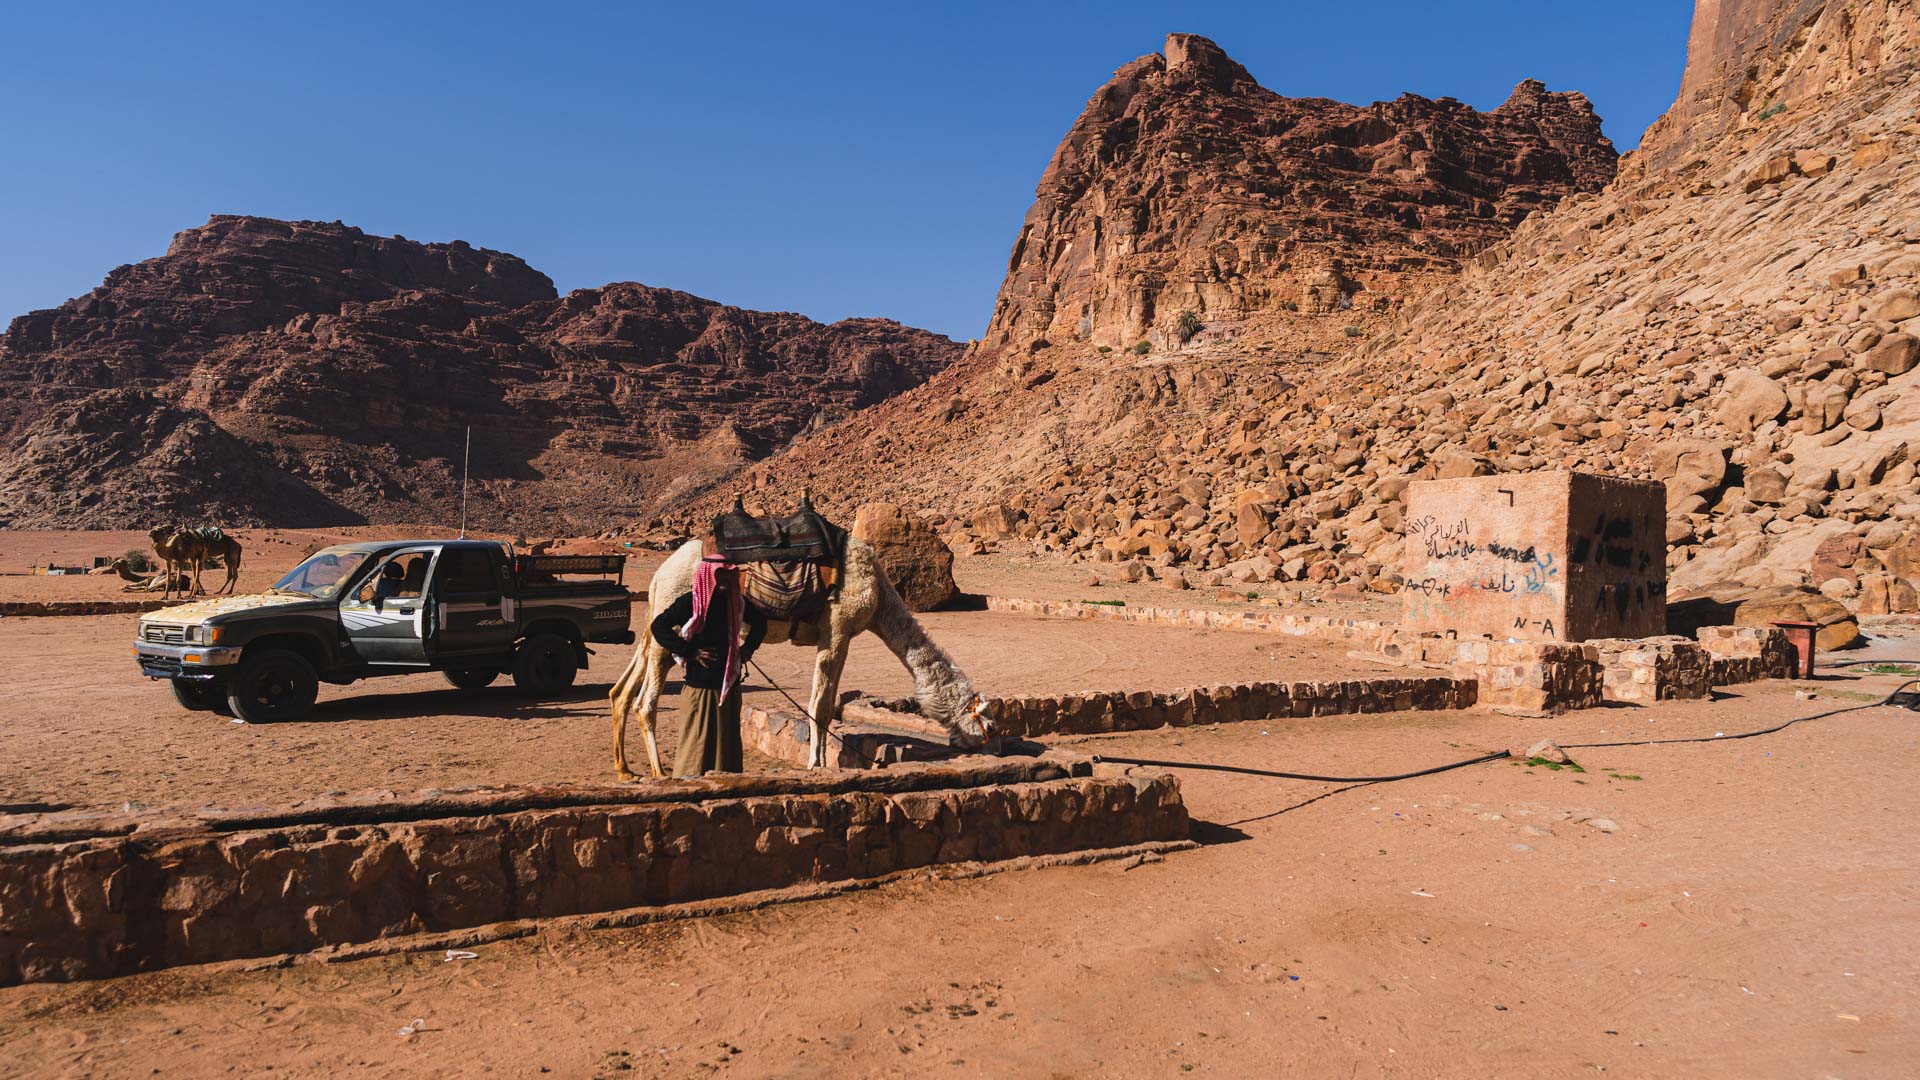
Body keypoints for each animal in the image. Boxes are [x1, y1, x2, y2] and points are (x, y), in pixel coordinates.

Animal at [610, 534, 998, 772]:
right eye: (981, 716)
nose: (987, 740)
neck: (879, 595)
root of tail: (660, 574)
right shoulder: (837, 628)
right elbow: (821, 703)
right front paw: (816, 763)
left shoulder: (839, 635)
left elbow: (826, 702)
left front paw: (821, 759)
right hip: (674, 621)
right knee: (646, 702)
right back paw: (660, 773)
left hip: (654, 621)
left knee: (623, 691)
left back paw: (626, 770)